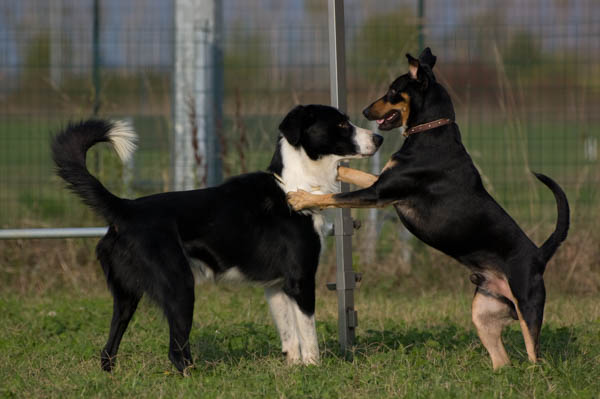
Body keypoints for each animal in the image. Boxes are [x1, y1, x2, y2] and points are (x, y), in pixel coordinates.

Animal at [50, 104, 380, 374]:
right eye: (341, 123)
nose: (379, 139)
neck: (294, 185)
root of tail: (125, 208)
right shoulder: (301, 281)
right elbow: (308, 335)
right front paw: (314, 369)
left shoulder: (276, 287)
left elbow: (290, 339)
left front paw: (294, 370)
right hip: (180, 287)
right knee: (176, 351)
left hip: (126, 298)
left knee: (109, 347)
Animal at [290, 47, 572, 368]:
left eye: (392, 91)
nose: (364, 111)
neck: (431, 133)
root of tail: (539, 255)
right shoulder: (385, 186)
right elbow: (347, 173)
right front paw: (333, 168)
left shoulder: (379, 193)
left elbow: (333, 198)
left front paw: (301, 198)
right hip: (484, 313)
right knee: (502, 360)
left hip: (528, 306)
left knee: (534, 355)